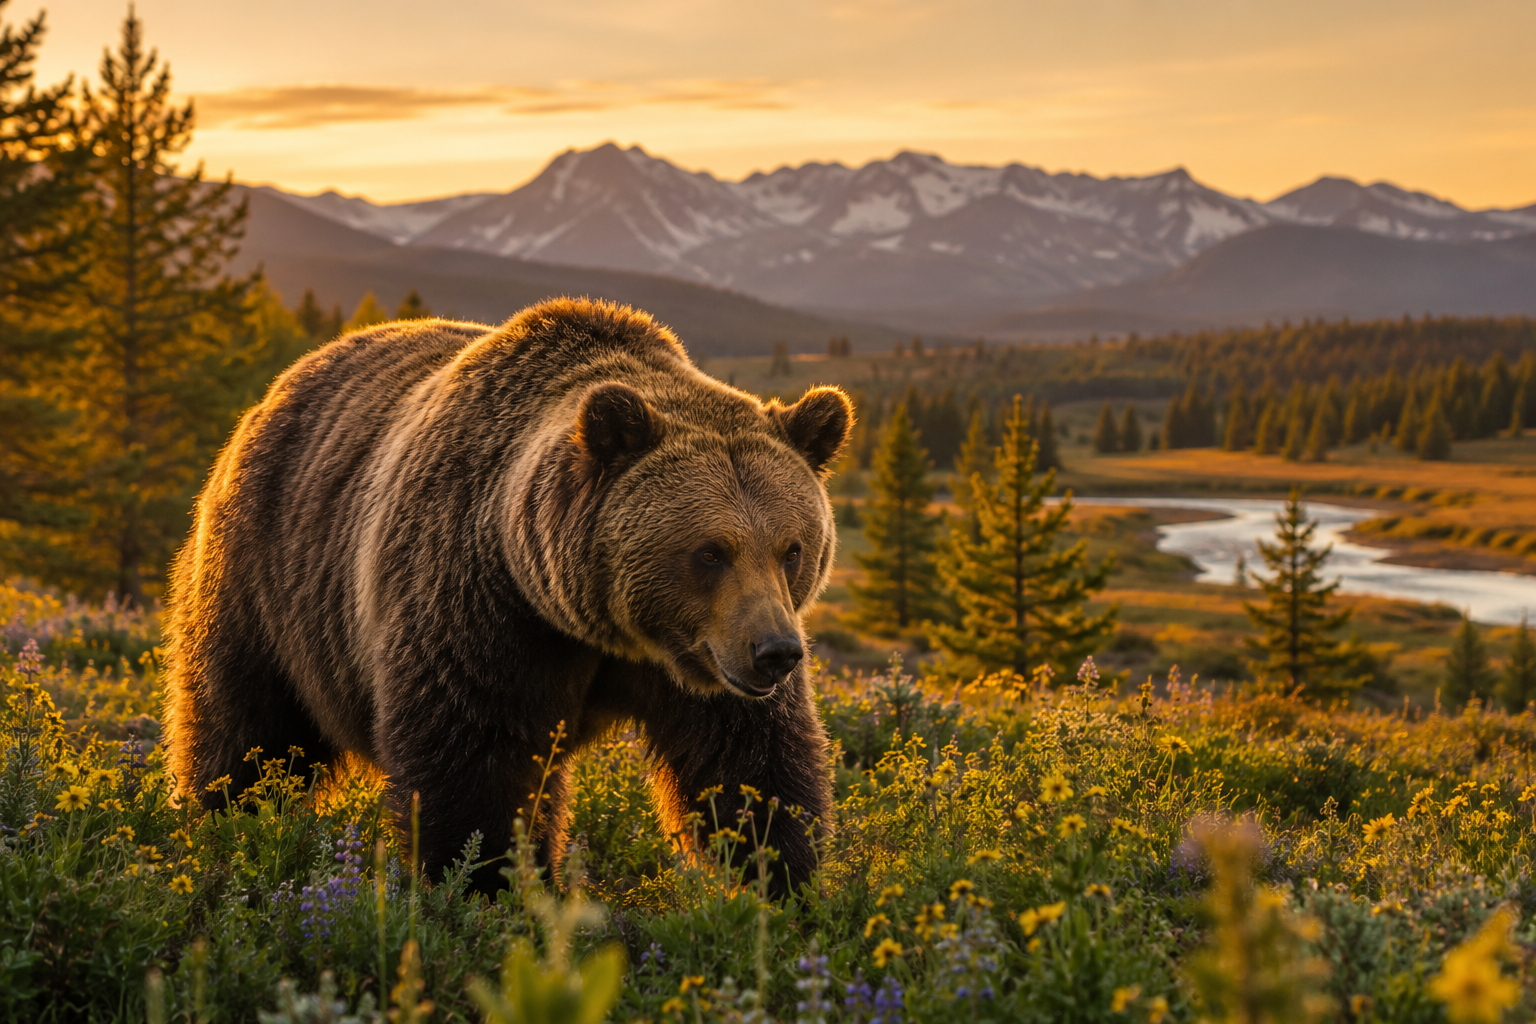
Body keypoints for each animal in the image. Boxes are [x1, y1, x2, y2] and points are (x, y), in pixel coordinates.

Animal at [163, 297, 852, 897]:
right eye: (711, 551)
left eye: (792, 548)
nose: (775, 652)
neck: (600, 627)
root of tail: (275, 391)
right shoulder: (479, 606)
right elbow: (475, 763)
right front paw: (483, 884)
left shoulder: (704, 664)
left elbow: (754, 764)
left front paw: (785, 883)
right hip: (265, 581)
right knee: (244, 728)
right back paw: (223, 829)